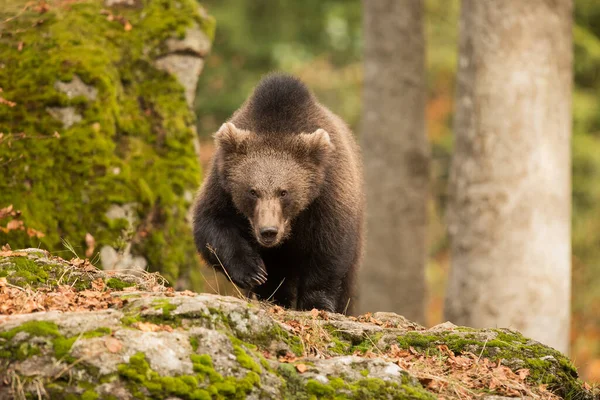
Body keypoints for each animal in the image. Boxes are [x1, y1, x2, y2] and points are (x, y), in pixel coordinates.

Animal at [193, 73, 360, 314]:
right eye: (252, 191)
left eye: (284, 192)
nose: (268, 231)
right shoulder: (222, 184)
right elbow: (213, 224)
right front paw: (254, 272)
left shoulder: (328, 192)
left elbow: (328, 249)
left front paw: (317, 303)